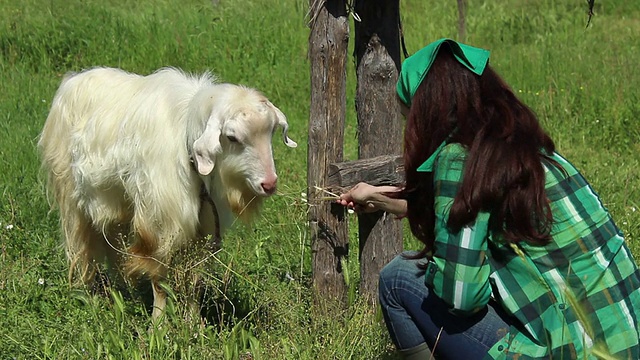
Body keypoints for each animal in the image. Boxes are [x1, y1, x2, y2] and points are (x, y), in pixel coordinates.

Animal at [38, 66, 298, 320]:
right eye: (232, 137)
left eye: (271, 131)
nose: (269, 184)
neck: (186, 146)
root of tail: (73, 80)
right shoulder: (160, 223)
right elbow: (159, 279)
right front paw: (159, 324)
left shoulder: (202, 227)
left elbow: (194, 278)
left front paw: (194, 323)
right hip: (71, 199)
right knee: (82, 249)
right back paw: (89, 295)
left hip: (115, 204)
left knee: (111, 243)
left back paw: (125, 291)